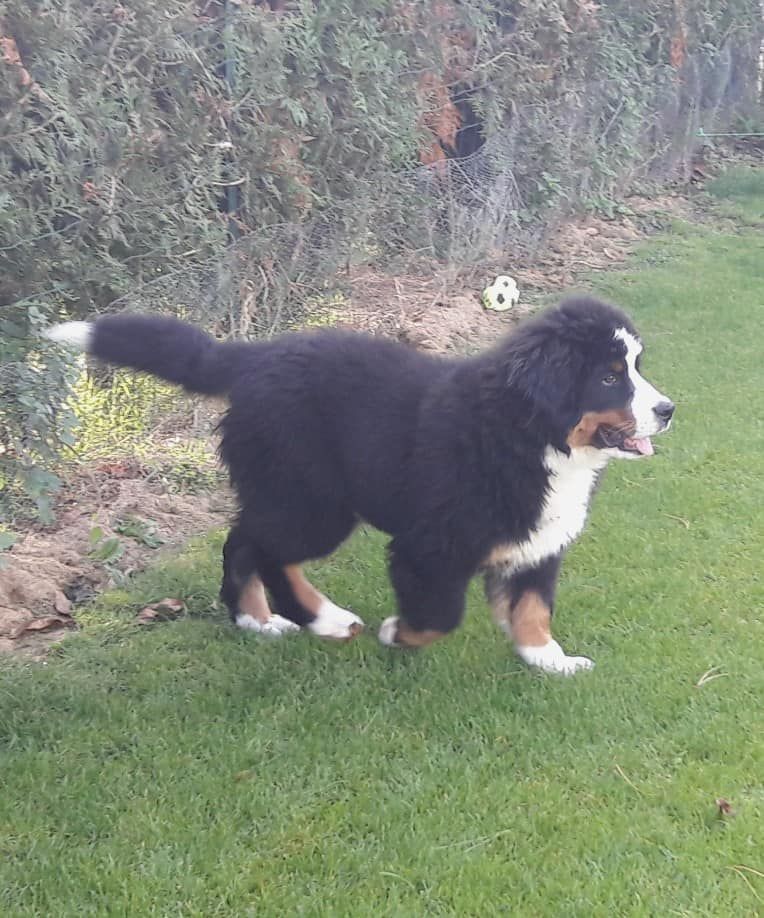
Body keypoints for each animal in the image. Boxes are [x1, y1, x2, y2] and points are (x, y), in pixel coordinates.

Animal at [46, 295, 673, 674]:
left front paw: (549, 659)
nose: (668, 410)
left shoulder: (537, 542)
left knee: (243, 541)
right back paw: (324, 620)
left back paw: (256, 620)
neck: (529, 434)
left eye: (635, 368)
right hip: (313, 502)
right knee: (266, 550)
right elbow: (440, 614)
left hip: (289, 491)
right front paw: (398, 634)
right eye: (609, 377)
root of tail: (256, 358)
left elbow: (533, 607)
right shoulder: (430, 545)